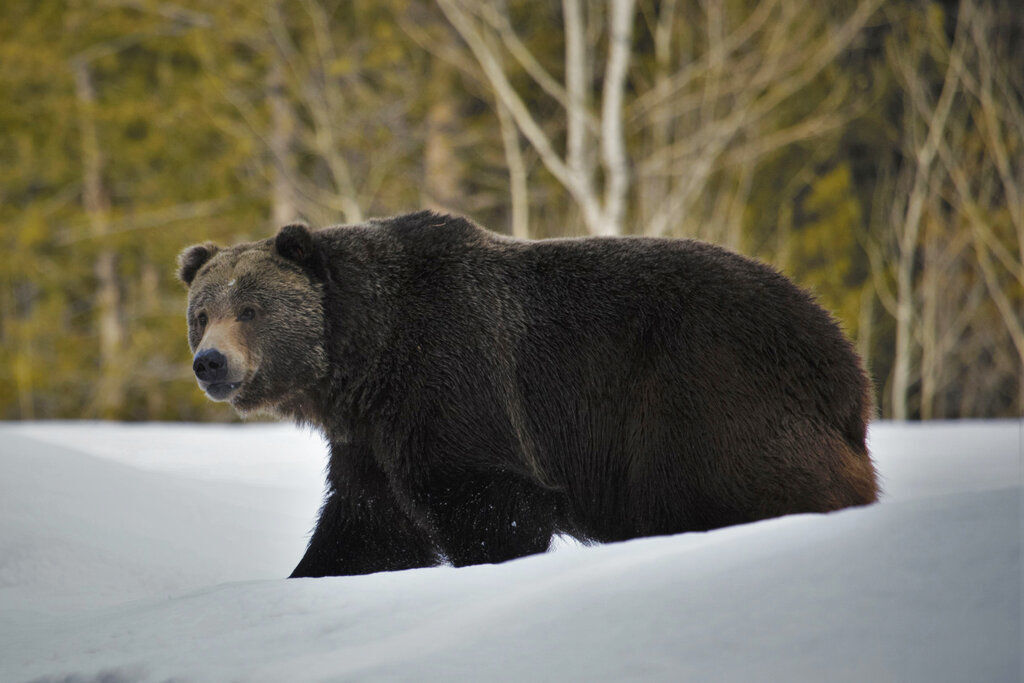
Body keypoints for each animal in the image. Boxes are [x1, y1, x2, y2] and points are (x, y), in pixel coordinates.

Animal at [180, 209, 876, 577]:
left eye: (251, 308)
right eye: (201, 312)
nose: (210, 362)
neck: (365, 360)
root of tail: (846, 365)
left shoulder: (453, 377)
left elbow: (491, 503)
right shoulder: (372, 438)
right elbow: (366, 525)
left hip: (706, 395)